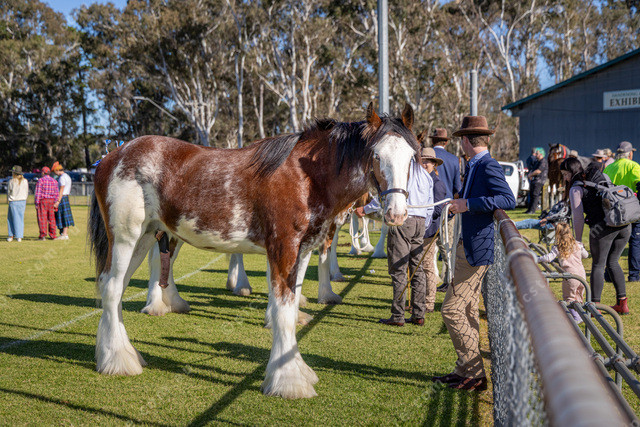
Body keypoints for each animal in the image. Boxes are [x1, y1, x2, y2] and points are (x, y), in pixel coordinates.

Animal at [88, 103, 420, 398]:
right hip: (126, 238)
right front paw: (289, 382)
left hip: (145, 238)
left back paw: (120, 353)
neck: (306, 177)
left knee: (114, 289)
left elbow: (292, 305)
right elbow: (283, 312)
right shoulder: (283, 249)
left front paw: (297, 371)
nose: (397, 213)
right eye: (376, 155)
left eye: (411, 157)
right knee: (113, 288)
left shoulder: (302, 253)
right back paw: (119, 361)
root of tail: (111, 156)